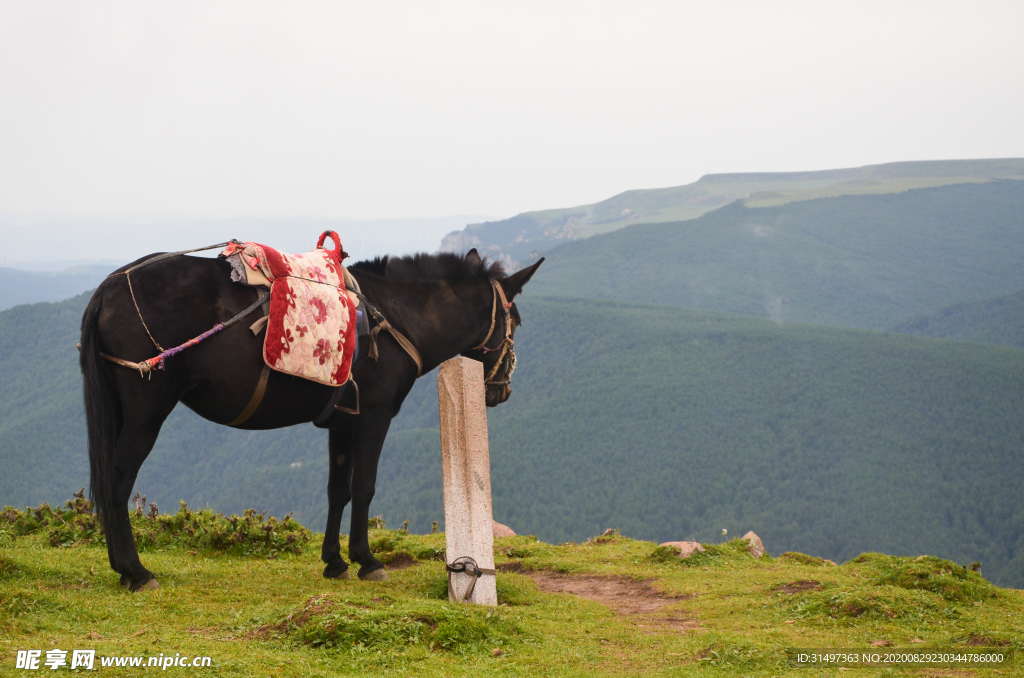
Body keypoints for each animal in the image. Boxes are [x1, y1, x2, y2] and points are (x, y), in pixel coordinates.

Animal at [80, 242, 544, 589]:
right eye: (517, 322)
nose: (502, 391)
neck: (395, 317)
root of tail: (108, 287)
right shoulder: (374, 417)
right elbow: (364, 487)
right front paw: (367, 560)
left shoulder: (341, 422)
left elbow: (337, 490)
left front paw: (335, 562)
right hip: (146, 413)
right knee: (118, 481)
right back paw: (136, 572)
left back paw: (121, 567)